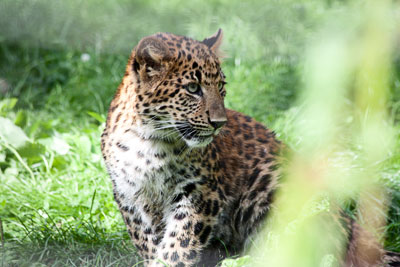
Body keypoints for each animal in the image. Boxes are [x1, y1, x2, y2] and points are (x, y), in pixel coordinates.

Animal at [102, 29, 400, 267]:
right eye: (193, 88)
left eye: (220, 86)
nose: (219, 123)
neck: (150, 141)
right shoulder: (130, 197)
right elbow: (149, 241)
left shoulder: (200, 192)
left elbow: (179, 242)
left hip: (274, 184)